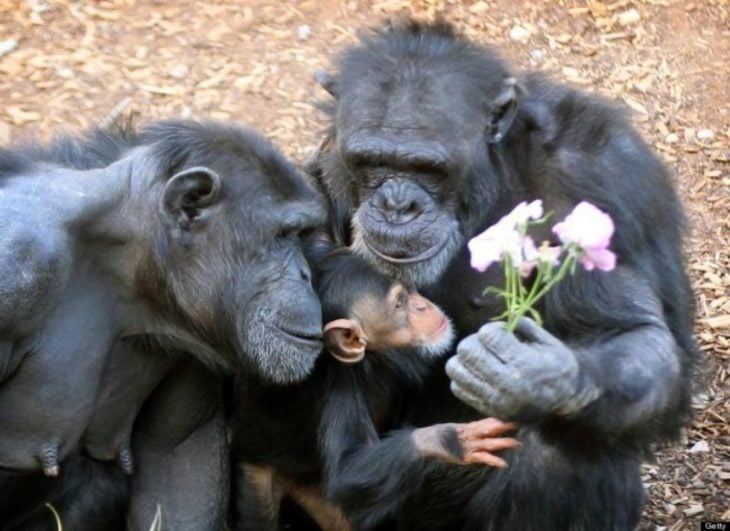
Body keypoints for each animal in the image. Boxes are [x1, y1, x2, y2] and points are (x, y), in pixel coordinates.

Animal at [0, 118, 324, 528]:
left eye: (303, 235)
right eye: (284, 235)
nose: (306, 274)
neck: (124, 256)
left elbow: (176, 465)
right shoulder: (17, 267)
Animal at [230, 246, 516, 531]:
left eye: (412, 290)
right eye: (400, 303)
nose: (422, 305)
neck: (371, 359)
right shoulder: (339, 385)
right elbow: (348, 467)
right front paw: (449, 440)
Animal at [306, 19, 692, 531]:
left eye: (428, 168)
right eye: (372, 162)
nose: (397, 205)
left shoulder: (600, 179)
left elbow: (634, 331)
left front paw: (539, 377)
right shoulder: (324, 165)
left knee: (557, 454)